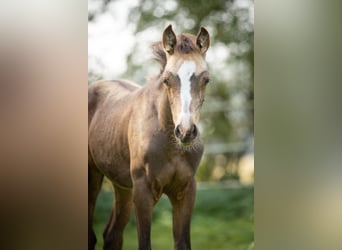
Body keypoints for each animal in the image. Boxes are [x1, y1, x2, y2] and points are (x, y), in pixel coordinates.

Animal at [88, 23, 210, 250]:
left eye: (206, 79)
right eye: (166, 79)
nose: (185, 131)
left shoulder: (185, 192)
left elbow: (182, 243)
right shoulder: (143, 192)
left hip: (123, 187)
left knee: (112, 235)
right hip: (93, 176)